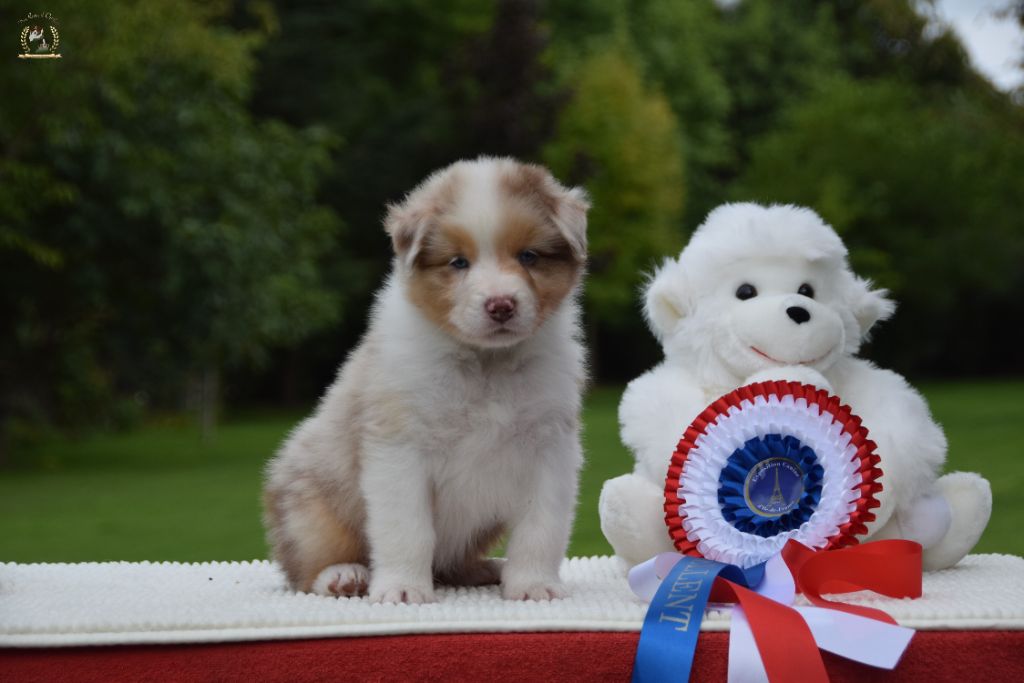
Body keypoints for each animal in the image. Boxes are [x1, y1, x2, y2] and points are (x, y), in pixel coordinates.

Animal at [262, 158, 593, 602]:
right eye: (458, 263)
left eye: (529, 256)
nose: (501, 305)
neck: (485, 363)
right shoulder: (400, 446)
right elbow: (408, 529)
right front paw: (402, 589)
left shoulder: (550, 446)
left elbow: (542, 527)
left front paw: (533, 585)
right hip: (311, 505)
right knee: (304, 567)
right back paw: (343, 576)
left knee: (451, 563)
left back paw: (484, 568)